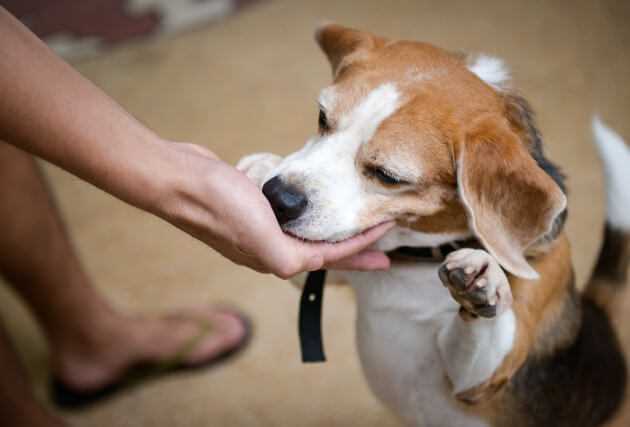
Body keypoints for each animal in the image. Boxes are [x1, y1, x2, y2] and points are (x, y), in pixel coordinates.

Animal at [238, 25, 630, 426]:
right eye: (322, 118)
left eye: (387, 176)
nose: (278, 197)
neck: (418, 257)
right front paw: (260, 167)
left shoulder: (481, 379)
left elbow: (484, 340)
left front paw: (482, 280)